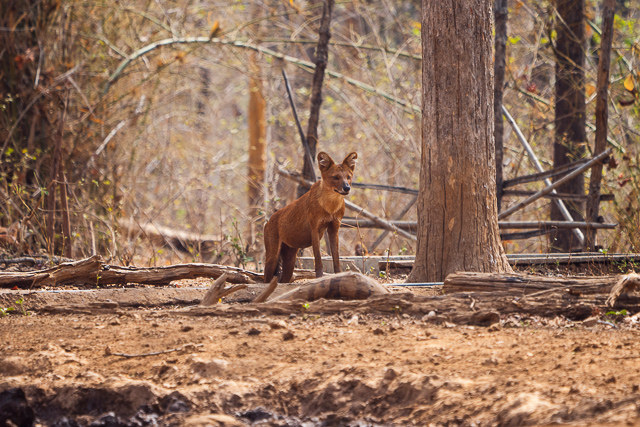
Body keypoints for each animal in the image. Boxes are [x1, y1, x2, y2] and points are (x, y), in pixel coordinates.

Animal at [262, 151, 358, 284]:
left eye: (348, 176)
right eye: (335, 177)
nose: (347, 187)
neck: (330, 206)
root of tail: (269, 220)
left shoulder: (334, 229)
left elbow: (336, 259)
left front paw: (339, 276)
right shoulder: (315, 229)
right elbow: (318, 260)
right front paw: (320, 279)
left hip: (290, 261)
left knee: (282, 280)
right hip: (273, 257)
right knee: (265, 279)